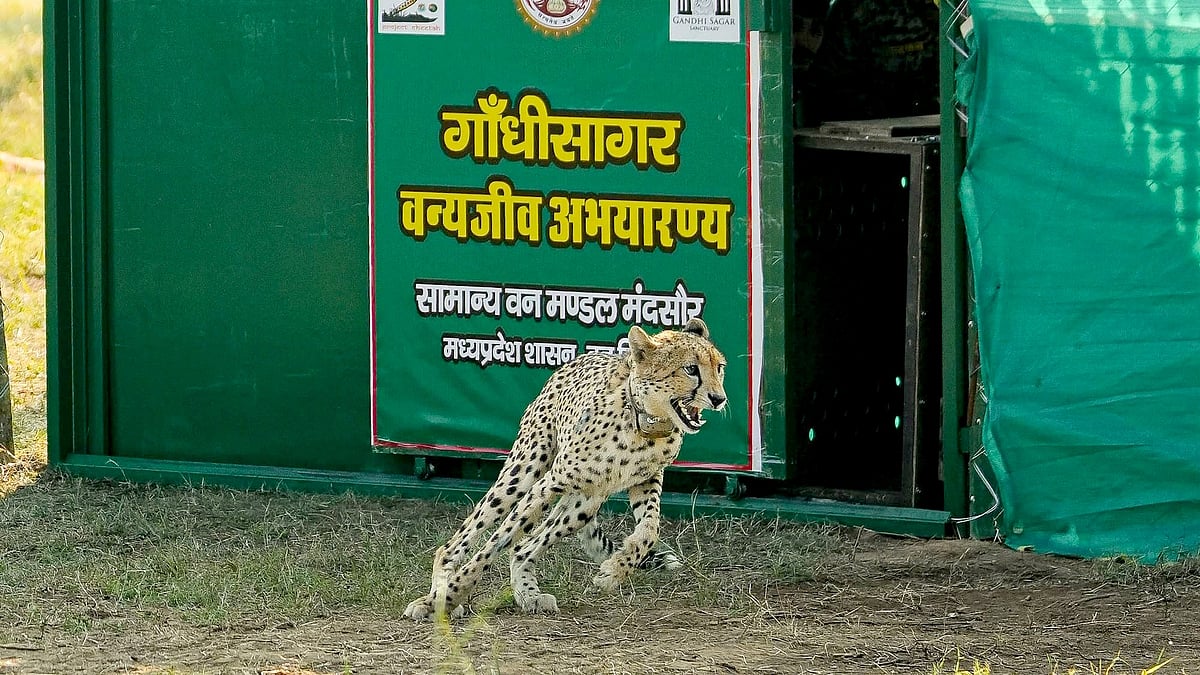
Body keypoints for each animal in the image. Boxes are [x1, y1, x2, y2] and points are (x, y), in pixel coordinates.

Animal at [403, 318, 728, 619]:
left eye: (719, 368)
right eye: (690, 369)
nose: (719, 398)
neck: (644, 424)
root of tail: (573, 361)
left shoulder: (646, 479)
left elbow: (649, 530)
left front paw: (614, 571)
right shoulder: (549, 482)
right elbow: (495, 543)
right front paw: (449, 595)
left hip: (585, 502)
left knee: (524, 547)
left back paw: (528, 595)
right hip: (523, 471)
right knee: (459, 543)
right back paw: (438, 592)